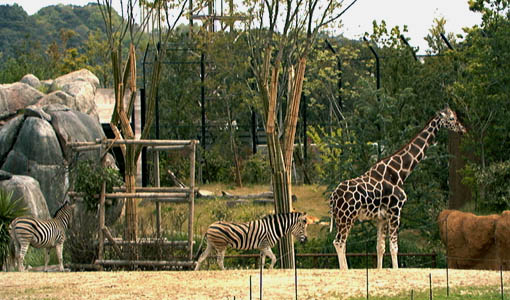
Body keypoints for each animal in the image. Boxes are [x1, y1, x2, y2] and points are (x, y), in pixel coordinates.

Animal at [330, 107, 466, 270]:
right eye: (452, 118)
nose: (463, 129)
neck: (399, 173)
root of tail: (333, 196)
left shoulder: (381, 218)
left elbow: (380, 247)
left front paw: (379, 270)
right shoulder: (395, 211)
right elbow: (394, 247)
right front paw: (396, 269)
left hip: (341, 218)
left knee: (341, 243)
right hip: (347, 216)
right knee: (339, 242)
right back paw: (345, 270)